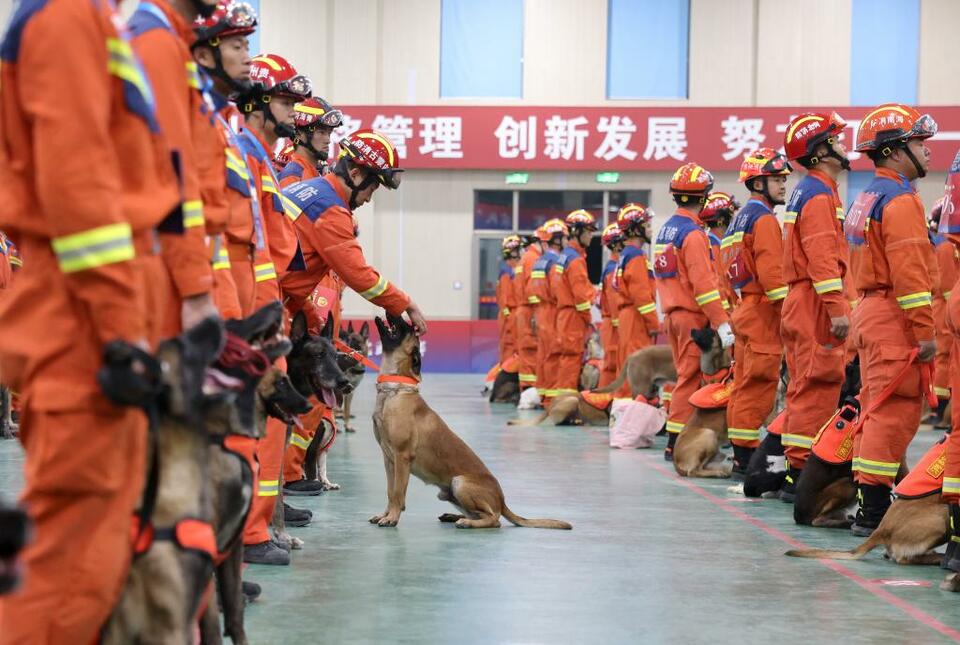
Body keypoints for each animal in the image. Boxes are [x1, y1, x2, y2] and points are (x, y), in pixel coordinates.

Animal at [372, 314, 568, 532]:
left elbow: (398, 493)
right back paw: (454, 516)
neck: (394, 390)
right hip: (450, 492)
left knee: (494, 520)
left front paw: (392, 517)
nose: (398, 314)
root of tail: (502, 500)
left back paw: (466, 522)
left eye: (408, 327)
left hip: (460, 483)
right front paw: (386, 514)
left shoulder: (402, 457)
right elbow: (390, 492)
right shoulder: (389, 459)